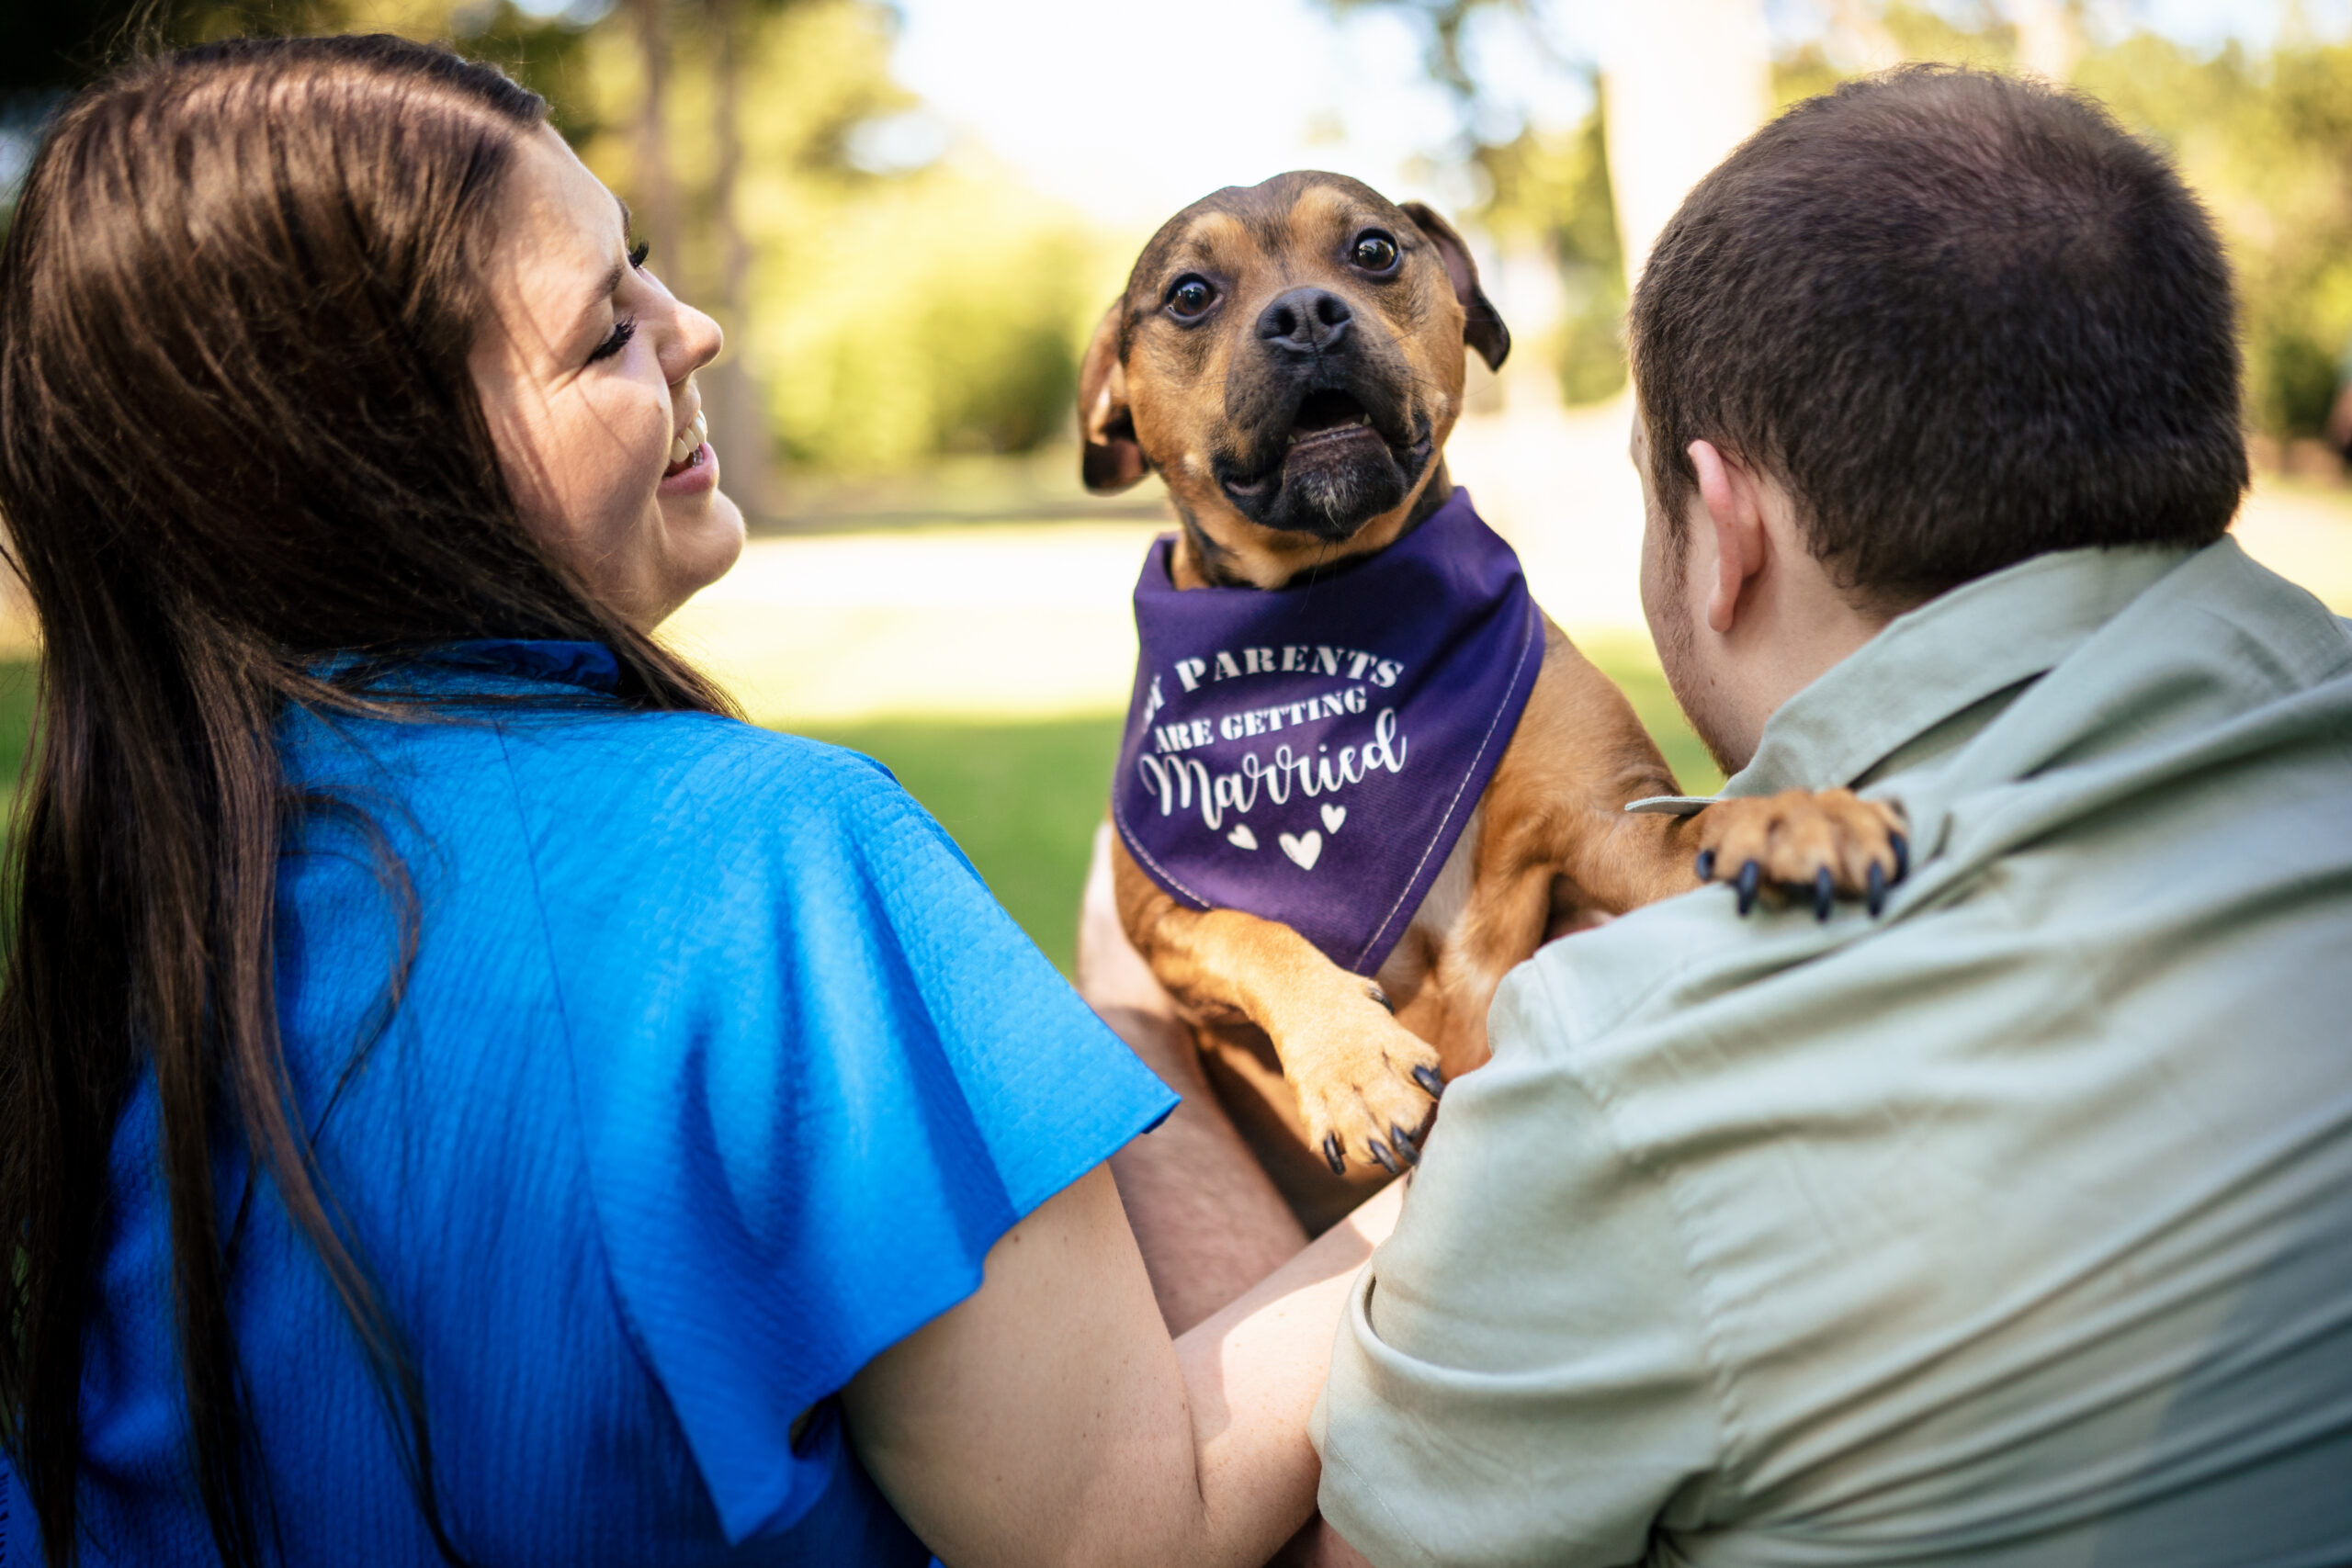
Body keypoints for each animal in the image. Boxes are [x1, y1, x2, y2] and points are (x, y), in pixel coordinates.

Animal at [1081, 171, 1909, 1222]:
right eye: (1189, 295)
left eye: (1374, 250)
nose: (1306, 315)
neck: (1334, 597)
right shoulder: (1161, 919)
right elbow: (1251, 929)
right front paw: (1351, 1059)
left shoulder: (1610, 826)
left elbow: (1694, 824)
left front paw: (1791, 814)